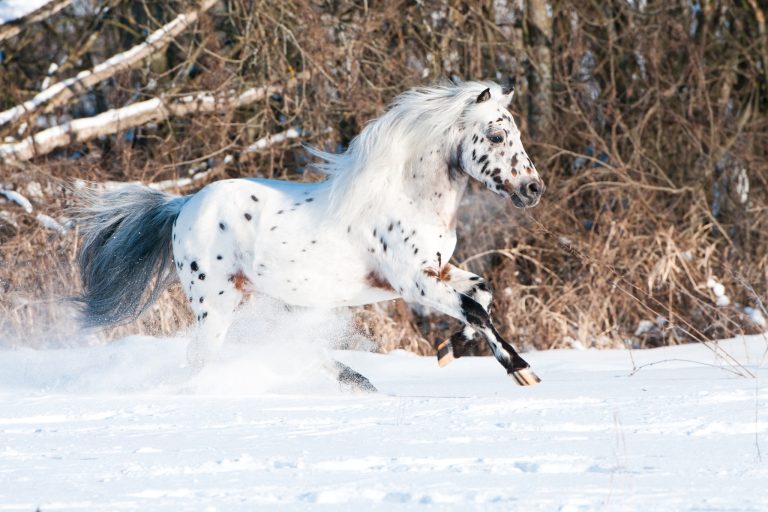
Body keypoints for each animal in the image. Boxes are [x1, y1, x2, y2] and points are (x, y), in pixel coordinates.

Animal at [75, 79, 545, 391]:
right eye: (496, 135)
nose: (532, 189)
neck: (406, 196)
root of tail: (182, 205)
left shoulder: (440, 271)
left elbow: (482, 296)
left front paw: (449, 352)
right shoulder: (413, 283)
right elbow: (476, 310)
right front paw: (521, 370)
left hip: (262, 298)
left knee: (287, 344)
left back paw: (356, 380)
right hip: (217, 304)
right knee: (204, 355)